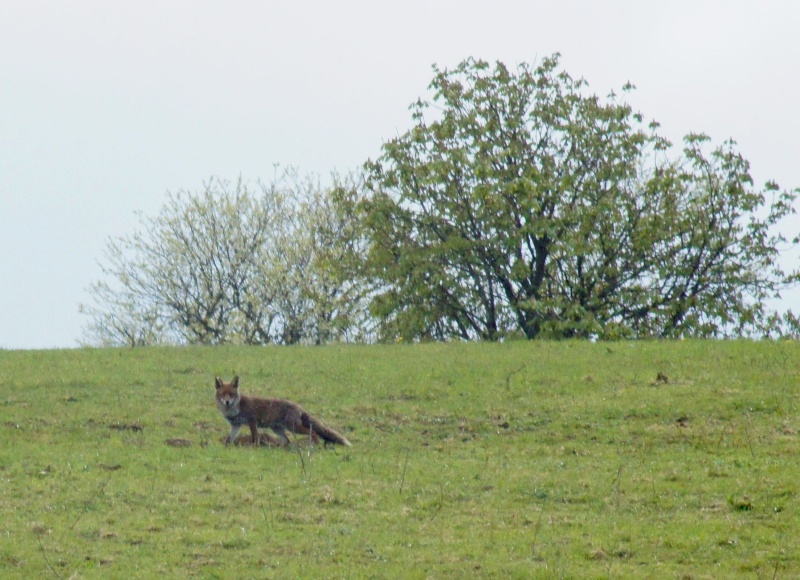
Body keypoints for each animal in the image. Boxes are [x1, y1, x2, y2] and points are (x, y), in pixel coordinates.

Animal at [214, 376, 352, 448]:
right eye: (223, 394)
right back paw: (277, 448)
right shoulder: (236, 425)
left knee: (313, 433)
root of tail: (298, 406)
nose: (227, 402)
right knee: (287, 440)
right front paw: (226, 447)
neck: (236, 407)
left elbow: (255, 438)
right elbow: (229, 439)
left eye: (231, 394)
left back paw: (315, 445)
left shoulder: (252, 421)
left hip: (293, 427)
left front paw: (255, 448)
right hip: (277, 429)